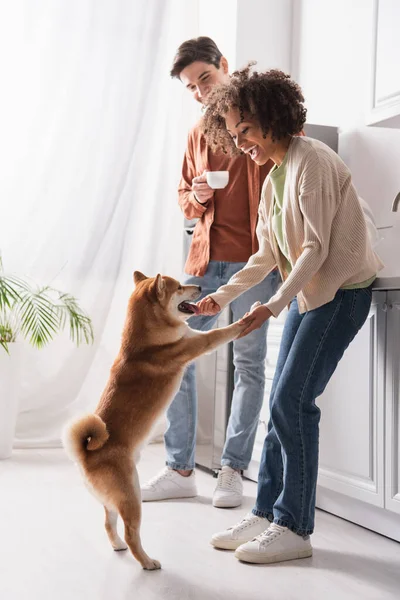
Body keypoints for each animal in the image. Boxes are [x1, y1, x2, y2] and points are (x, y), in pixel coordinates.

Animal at [62, 274, 247, 568]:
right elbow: (220, 334)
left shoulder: (192, 337)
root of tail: (86, 456)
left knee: (108, 523)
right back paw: (147, 562)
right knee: (131, 533)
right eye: (180, 287)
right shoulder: (196, 344)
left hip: (114, 501)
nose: (201, 287)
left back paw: (117, 546)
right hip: (132, 496)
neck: (147, 340)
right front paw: (246, 318)